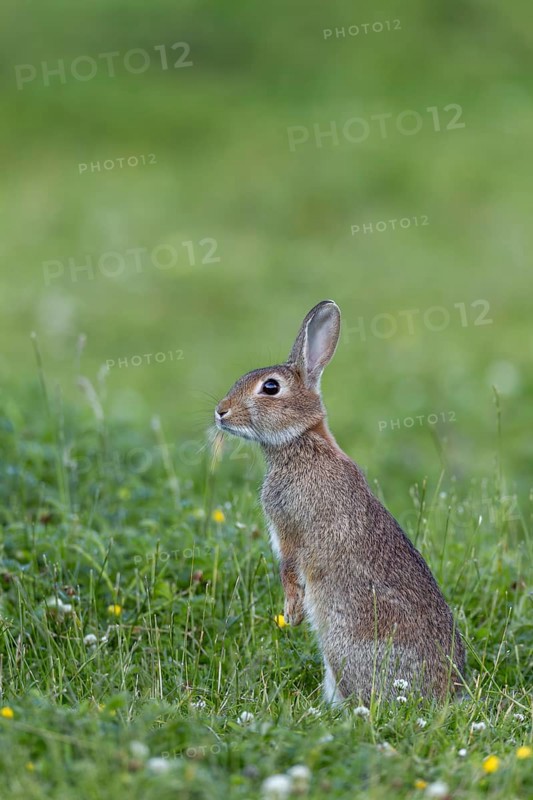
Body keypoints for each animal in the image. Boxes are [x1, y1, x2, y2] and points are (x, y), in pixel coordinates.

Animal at [215, 300, 465, 704]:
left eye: (270, 387)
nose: (220, 411)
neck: (299, 443)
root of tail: (446, 693)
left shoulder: (291, 531)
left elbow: (290, 570)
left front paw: (292, 614)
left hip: (343, 643)